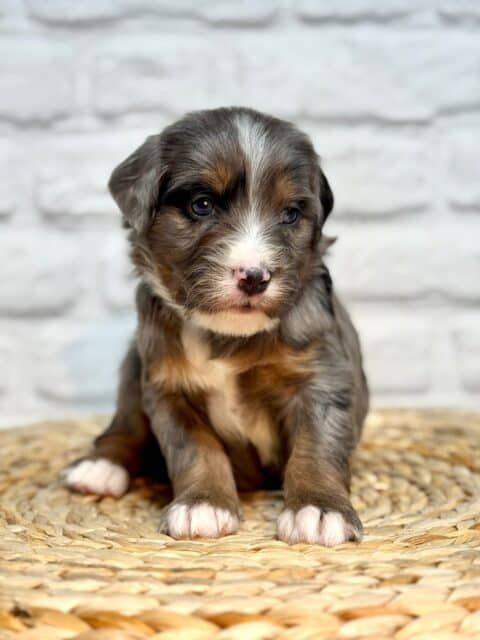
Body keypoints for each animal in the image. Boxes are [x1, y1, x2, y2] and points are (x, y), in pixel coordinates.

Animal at [65, 106, 370, 544]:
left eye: (290, 214)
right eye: (202, 204)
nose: (255, 276)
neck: (226, 335)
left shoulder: (321, 378)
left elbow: (316, 447)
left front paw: (318, 509)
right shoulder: (168, 389)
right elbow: (196, 451)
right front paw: (204, 504)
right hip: (132, 368)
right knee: (124, 427)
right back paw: (100, 468)